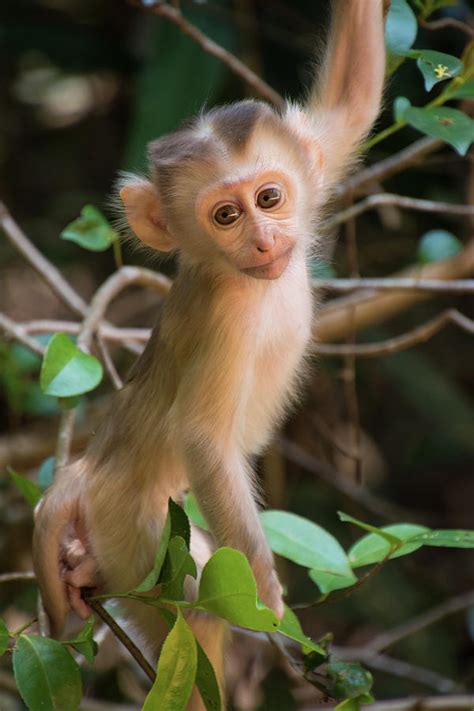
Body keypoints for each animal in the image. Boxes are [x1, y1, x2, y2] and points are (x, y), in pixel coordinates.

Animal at [34, 1, 388, 708]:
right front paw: (270, 601)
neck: (249, 282)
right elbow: (202, 439)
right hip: (136, 538)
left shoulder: (313, 158)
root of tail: (85, 469)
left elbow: (356, 97)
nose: (264, 240)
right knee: (192, 623)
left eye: (270, 198)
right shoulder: (224, 323)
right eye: (226, 215)